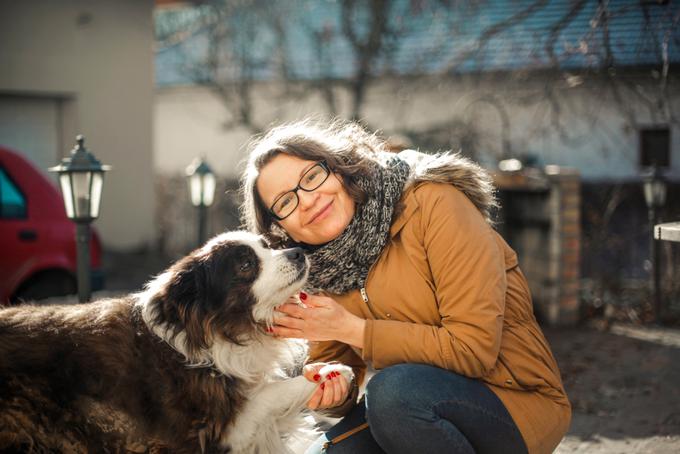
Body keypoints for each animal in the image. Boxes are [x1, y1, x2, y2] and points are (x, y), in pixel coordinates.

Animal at [0, 232, 350, 452]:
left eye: (266, 246)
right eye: (246, 264)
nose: (298, 252)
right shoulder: (215, 427)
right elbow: (267, 395)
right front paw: (330, 372)